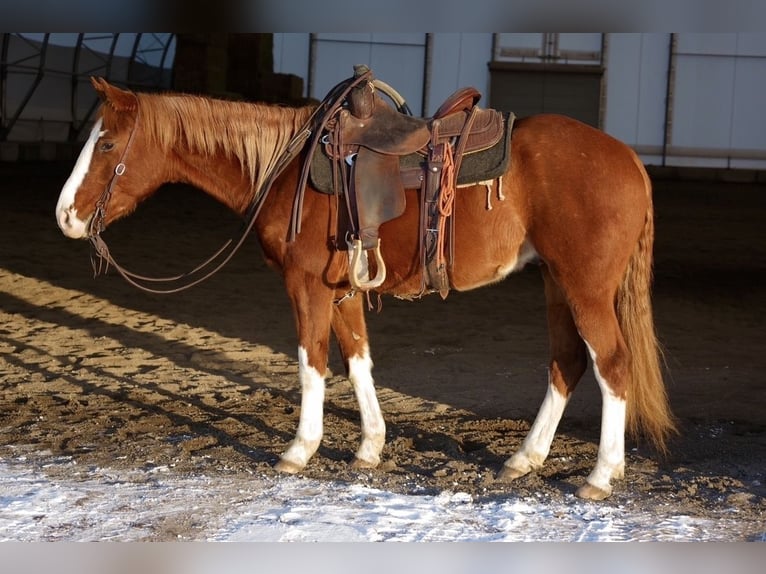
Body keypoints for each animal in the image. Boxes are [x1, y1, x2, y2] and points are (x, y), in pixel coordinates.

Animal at [55, 75, 676, 500]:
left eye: (106, 145)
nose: (65, 216)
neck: (286, 167)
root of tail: (628, 158)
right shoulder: (343, 290)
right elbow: (357, 361)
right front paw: (370, 447)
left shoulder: (306, 286)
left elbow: (311, 361)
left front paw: (299, 450)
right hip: (555, 282)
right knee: (566, 363)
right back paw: (524, 459)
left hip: (584, 288)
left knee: (611, 363)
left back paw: (600, 475)